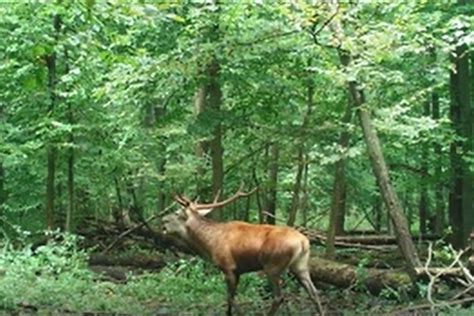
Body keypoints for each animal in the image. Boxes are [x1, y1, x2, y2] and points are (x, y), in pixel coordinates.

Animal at [161, 186, 324, 314]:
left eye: (176, 213)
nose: (162, 220)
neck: (209, 243)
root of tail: (303, 242)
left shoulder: (228, 266)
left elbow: (230, 297)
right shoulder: (238, 271)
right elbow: (231, 297)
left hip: (273, 265)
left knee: (279, 297)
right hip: (300, 265)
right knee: (314, 292)